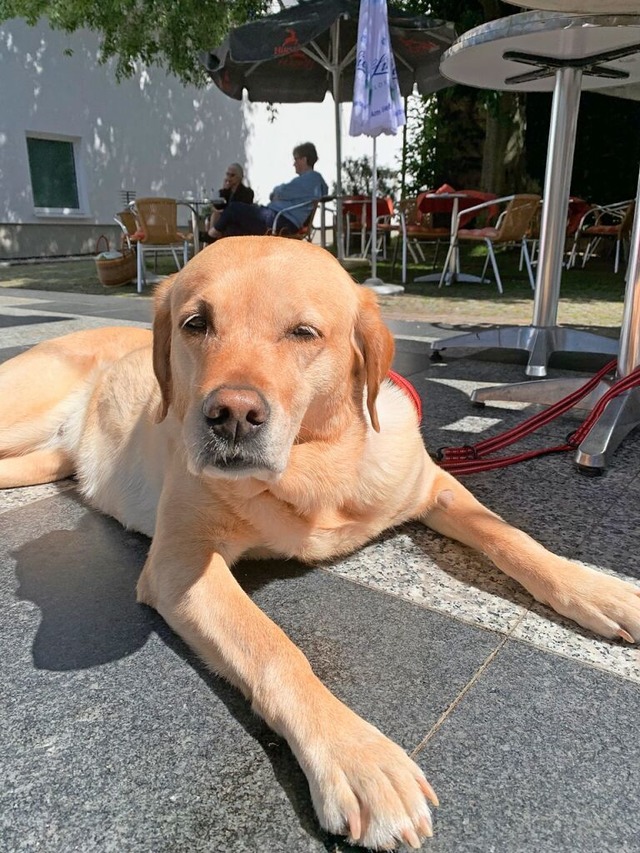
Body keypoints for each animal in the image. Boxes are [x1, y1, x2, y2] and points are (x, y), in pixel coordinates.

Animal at [1, 236, 640, 848]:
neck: (315, 469)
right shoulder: (182, 561)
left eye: (304, 332)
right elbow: (274, 647)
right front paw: (357, 757)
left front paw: (600, 589)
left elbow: (509, 536)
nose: (231, 415)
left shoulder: (435, 486)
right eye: (196, 323)